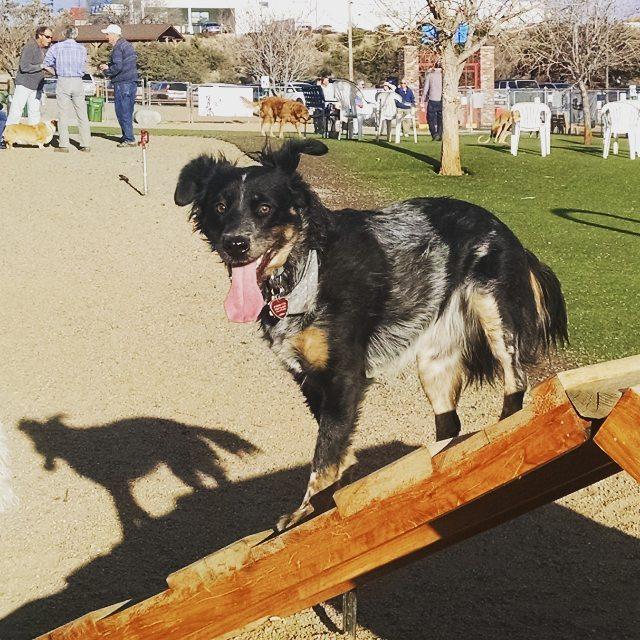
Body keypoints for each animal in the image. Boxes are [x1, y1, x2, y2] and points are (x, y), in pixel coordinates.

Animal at [172, 139, 568, 528]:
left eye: (265, 208)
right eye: (220, 207)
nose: (235, 243)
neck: (308, 270)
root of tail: (505, 228)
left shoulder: (344, 374)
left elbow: (324, 453)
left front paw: (305, 511)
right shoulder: (308, 376)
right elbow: (336, 447)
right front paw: (329, 501)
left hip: (495, 317)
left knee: (515, 382)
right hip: (434, 363)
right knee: (450, 424)